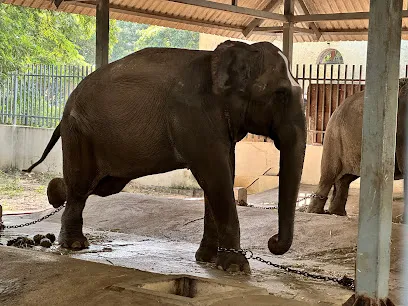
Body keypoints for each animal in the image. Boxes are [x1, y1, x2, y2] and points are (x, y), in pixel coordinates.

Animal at [23, 40, 306, 272]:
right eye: (280, 94)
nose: (272, 242)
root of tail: (66, 107)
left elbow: (222, 174)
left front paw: (208, 260)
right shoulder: (193, 116)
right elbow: (215, 175)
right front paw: (236, 268)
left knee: (98, 186)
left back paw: (54, 194)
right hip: (79, 132)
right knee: (82, 186)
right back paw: (74, 244)